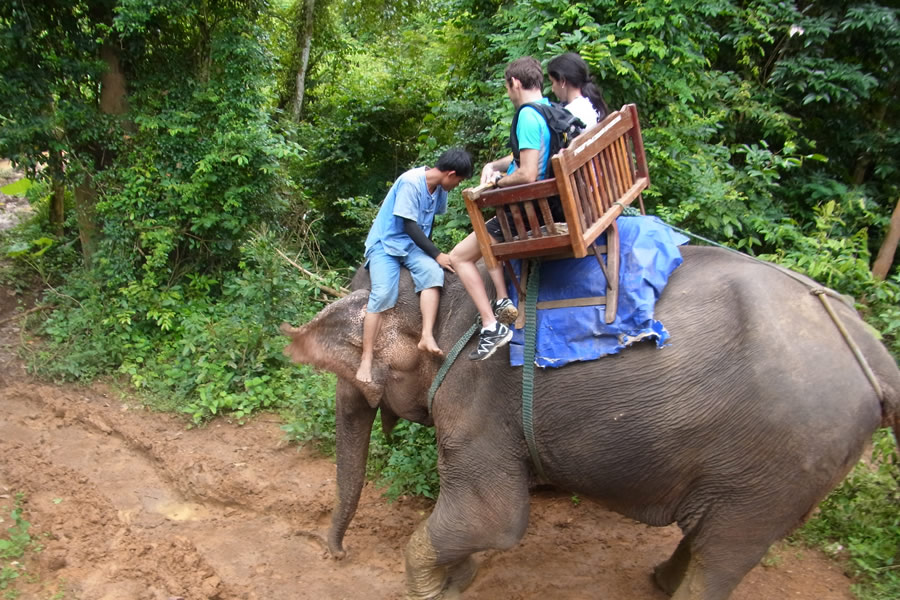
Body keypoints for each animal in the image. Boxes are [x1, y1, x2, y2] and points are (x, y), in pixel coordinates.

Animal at [282, 245, 900, 600]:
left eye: (354, 372)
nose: (334, 553)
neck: (450, 289)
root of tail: (877, 355)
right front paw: (461, 580)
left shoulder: (477, 392)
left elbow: (496, 518)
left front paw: (431, 592)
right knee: (710, 539)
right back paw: (659, 581)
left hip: (780, 462)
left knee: (724, 555)